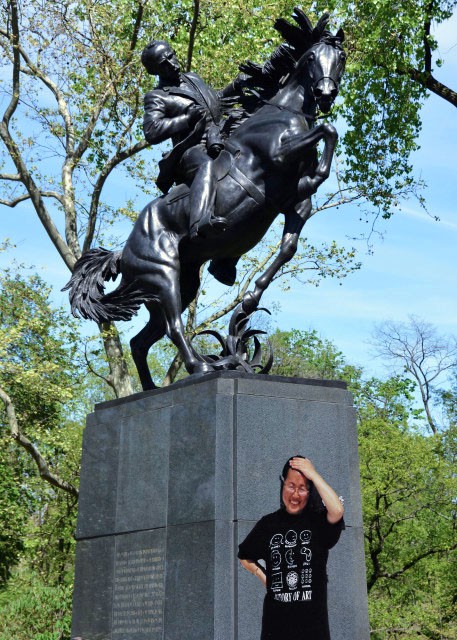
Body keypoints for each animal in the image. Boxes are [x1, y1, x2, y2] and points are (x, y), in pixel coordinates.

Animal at [62, 20, 344, 390]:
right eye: (311, 57)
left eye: (339, 58)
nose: (326, 93)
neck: (280, 114)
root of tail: (123, 251)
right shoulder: (276, 155)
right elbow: (328, 129)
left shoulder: (292, 203)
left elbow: (288, 247)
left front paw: (248, 302)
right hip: (163, 274)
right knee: (173, 328)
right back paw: (200, 367)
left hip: (180, 285)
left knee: (140, 341)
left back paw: (152, 389)